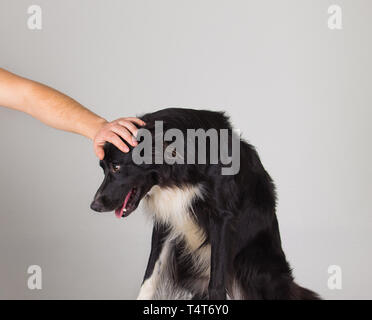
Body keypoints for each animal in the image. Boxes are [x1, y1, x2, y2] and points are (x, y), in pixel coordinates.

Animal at [91, 107, 320, 300]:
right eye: (102, 167)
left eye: (117, 167)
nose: (94, 206)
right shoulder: (166, 219)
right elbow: (150, 276)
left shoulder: (222, 218)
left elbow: (216, 284)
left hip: (254, 262)